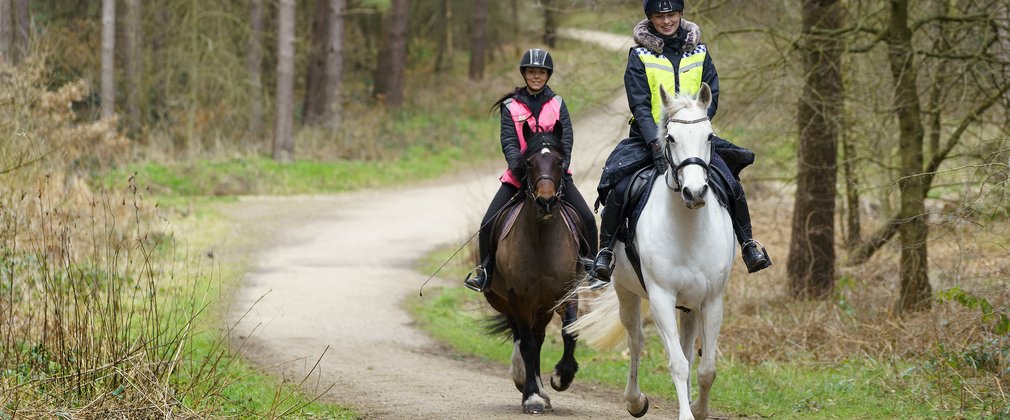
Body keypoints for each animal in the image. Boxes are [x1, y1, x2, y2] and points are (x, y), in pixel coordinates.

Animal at [484, 120, 589, 413]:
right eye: (529, 162)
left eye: (559, 160)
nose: (546, 201)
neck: (541, 239)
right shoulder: (517, 297)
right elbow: (528, 344)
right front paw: (531, 396)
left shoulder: (567, 292)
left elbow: (569, 332)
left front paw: (562, 377)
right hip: (507, 302)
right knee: (523, 338)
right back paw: (526, 382)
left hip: (543, 306)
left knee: (539, 337)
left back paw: (543, 389)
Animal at [569, 83, 735, 420]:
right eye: (670, 138)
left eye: (710, 136)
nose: (695, 193)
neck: (688, 230)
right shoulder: (661, 297)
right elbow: (678, 363)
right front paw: (686, 414)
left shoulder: (712, 301)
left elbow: (706, 368)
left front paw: (698, 409)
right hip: (627, 293)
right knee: (636, 339)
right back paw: (635, 400)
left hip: (689, 305)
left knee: (686, 346)